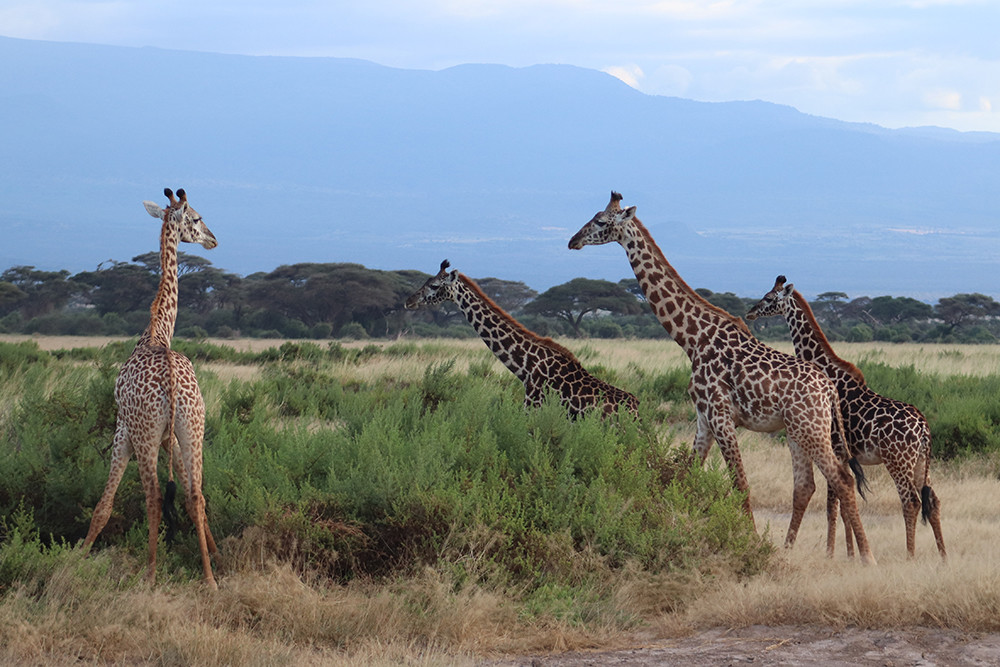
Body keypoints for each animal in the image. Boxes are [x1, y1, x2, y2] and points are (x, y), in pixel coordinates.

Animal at [82, 188, 220, 588]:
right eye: (197, 218)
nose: (213, 239)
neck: (157, 333)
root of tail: (172, 382)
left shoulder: (123, 429)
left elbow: (104, 504)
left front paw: (74, 560)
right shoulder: (169, 436)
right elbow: (189, 497)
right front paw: (218, 558)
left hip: (144, 433)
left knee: (154, 497)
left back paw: (151, 574)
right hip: (193, 426)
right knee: (195, 494)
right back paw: (210, 579)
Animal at [404, 260, 639, 418]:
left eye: (435, 286)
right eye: (427, 281)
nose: (408, 301)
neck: (526, 367)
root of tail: (638, 411)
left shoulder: (533, 410)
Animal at [568, 192, 874, 563]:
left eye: (600, 221)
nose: (573, 241)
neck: (692, 339)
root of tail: (829, 389)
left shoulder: (721, 415)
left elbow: (740, 484)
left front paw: (751, 544)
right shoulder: (703, 418)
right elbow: (686, 477)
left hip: (811, 429)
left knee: (841, 479)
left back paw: (867, 557)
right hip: (798, 431)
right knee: (807, 485)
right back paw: (802, 551)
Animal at [746, 275, 946, 559]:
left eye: (769, 298)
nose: (750, 312)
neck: (828, 369)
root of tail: (924, 429)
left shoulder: (835, 448)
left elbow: (833, 506)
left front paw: (831, 553)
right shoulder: (844, 455)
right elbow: (842, 508)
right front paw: (850, 554)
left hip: (898, 461)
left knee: (911, 501)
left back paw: (910, 556)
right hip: (920, 462)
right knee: (933, 500)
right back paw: (943, 558)